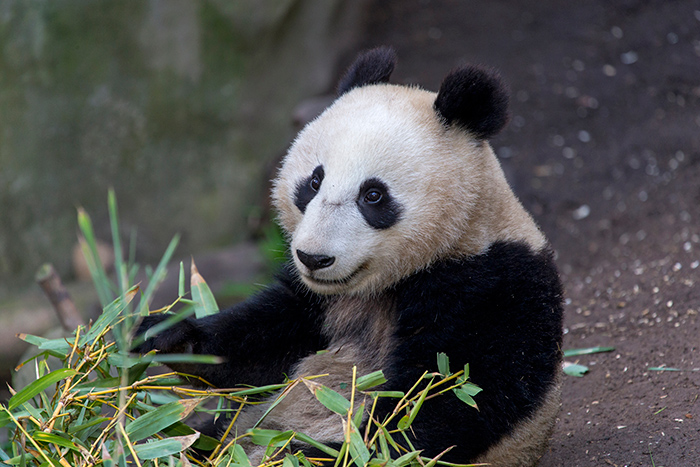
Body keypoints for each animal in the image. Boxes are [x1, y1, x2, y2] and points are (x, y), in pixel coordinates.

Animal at [137, 47, 564, 467]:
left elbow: (441, 403)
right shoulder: (314, 302)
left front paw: (308, 453)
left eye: (372, 195)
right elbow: (260, 347)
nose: (313, 258)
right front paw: (163, 334)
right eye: (313, 182)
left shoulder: (492, 286)